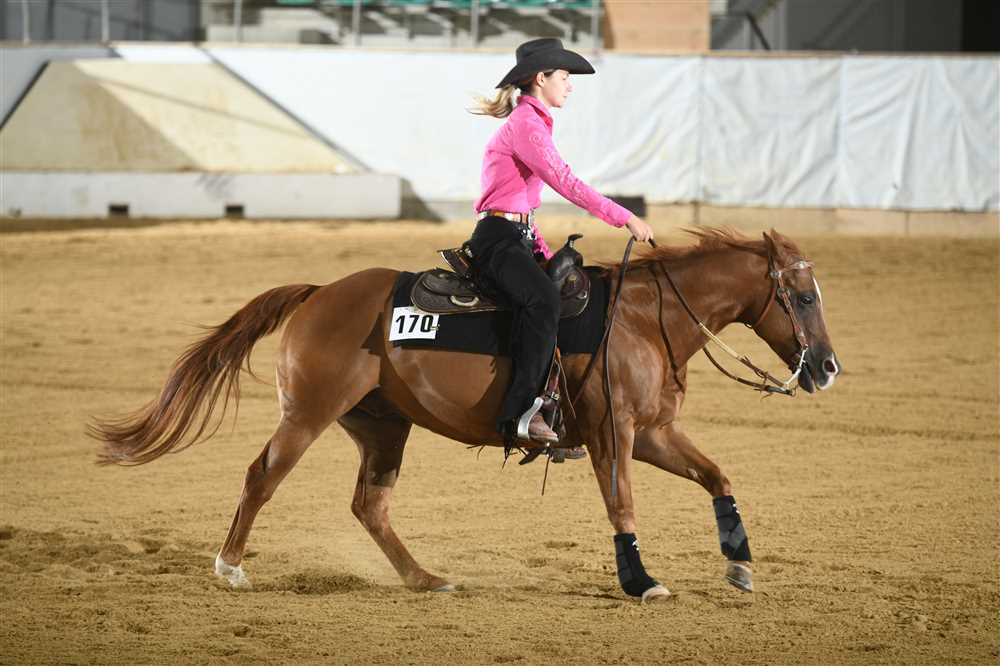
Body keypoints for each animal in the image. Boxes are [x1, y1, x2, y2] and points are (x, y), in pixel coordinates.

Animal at [90, 227, 840, 602]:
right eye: (803, 297)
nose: (828, 367)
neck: (639, 320)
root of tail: (320, 292)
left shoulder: (654, 433)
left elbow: (717, 476)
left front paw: (740, 565)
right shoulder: (613, 434)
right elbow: (622, 505)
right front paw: (640, 580)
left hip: (382, 425)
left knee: (370, 505)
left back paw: (425, 578)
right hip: (307, 414)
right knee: (261, 477)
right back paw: (230, 567)